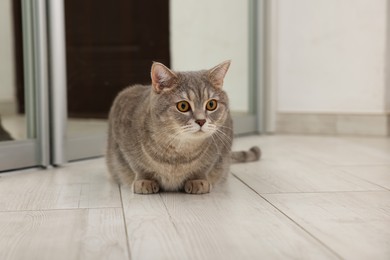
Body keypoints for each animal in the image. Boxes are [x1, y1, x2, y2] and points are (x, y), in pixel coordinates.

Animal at [105, 61, 260, 194]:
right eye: (183, 106)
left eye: (211, 104)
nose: (201, 120)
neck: (179, 149)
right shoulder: (121, 124)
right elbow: (137, 164)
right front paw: (144, 180)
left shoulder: (221, 143)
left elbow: (204, 167)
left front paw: (198, 180)